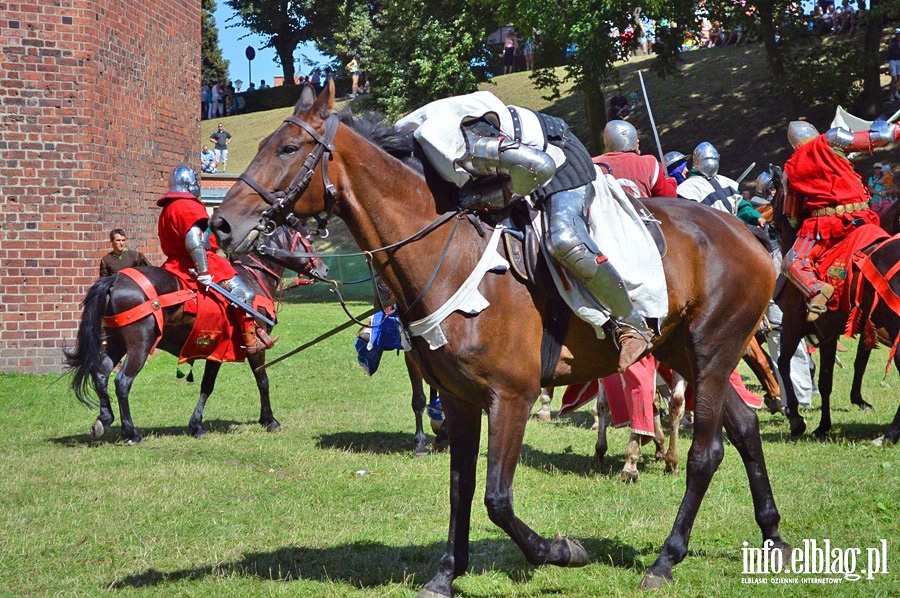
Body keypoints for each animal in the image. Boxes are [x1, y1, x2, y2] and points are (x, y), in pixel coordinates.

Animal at [66, 225, 326, 446]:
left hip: (117, 342)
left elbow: (207, 385)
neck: (256, 277)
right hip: (140, 344)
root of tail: (115, 279)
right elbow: (262, 380)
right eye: (309, 243)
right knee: (122, 381)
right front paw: (270, 420)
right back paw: (132, 433)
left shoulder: (216, 348)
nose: (325, 269)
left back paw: (104, 420)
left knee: (101, 373)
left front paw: (196, 426)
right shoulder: (254, 347)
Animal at [209, 84, 788, 596]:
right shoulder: (460, 399)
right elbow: (461, 487)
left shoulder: (511, 397)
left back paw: (666, 559)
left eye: (287, 149)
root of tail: (747, 234)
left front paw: (560, 551)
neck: (448, 255)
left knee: (706, 452)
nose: (221, 225)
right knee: (744, 427)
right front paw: (446, 574)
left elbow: (497, 498)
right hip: (684, 352)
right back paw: (773, 534)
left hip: (712, 352)